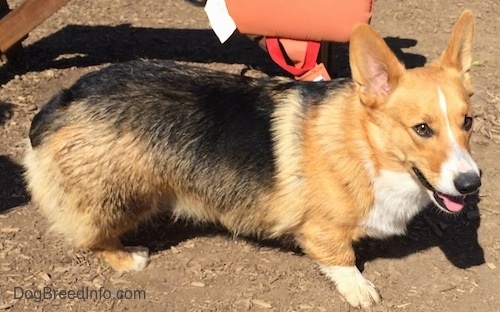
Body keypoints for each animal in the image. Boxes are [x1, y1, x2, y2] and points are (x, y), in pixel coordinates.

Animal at [24, 10, 480, 310]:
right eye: (422, 129)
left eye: (468, 122)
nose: (472, 183)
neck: (365, 147)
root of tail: (63, 100)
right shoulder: (322, 231)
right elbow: (342, 259)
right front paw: (359, 290)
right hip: (123, 195)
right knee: (91, 236)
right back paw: (127, 256)